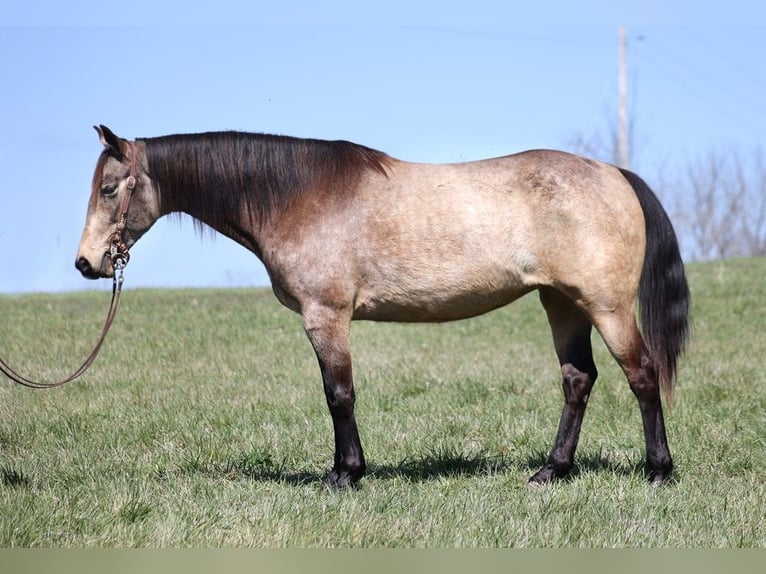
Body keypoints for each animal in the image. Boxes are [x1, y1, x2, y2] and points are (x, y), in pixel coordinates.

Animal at [75, 125, 692, 486]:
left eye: (108, 189)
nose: (87, 263)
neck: (300, 196)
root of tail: (615, 174)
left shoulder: (326, 317)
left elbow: (339, 395)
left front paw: (346, 475)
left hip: (606, 307)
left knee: (642, 376)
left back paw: (658, 472)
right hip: (561, 302)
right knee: (578, 379)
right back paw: (552, 471)